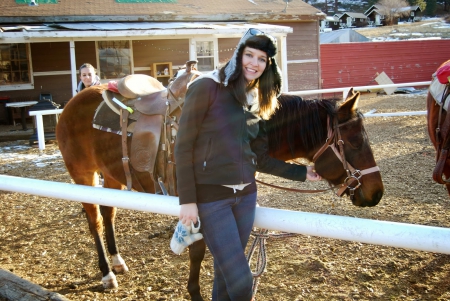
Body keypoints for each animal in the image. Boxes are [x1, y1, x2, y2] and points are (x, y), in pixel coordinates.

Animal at [56, 67, 384, 296]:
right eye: (355, 142)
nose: (376, 193)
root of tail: (72, 103)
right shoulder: (197, 208)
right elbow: (199, 253)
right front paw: (195, 292)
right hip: (83, 175)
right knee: (95, 220)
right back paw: (106, 273)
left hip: (113, 176)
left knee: (108, 213)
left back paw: (117, 261)